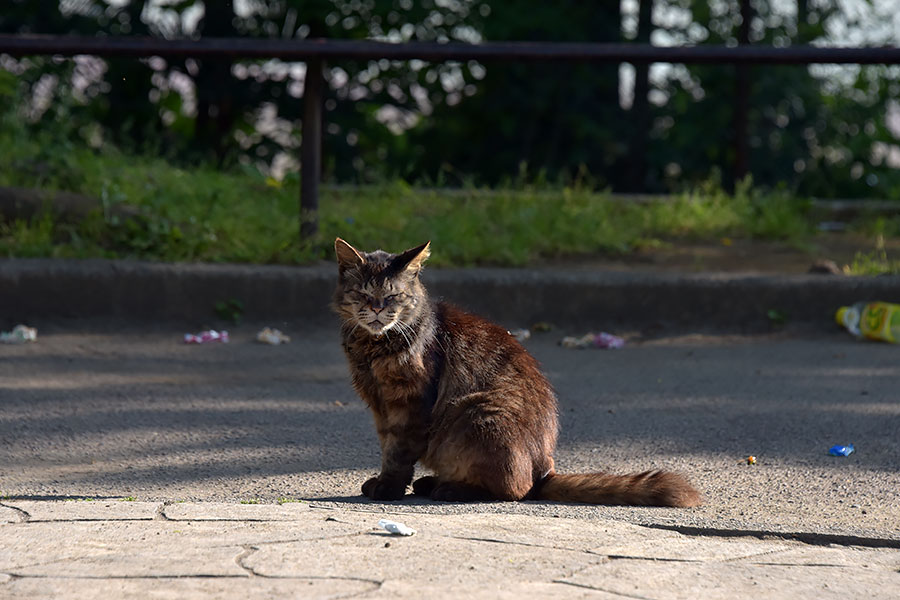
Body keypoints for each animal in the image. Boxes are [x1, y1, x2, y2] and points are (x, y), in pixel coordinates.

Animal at [334, 239, 700, 506]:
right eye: (363, 293)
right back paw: (433, 482)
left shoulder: (406, 404)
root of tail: (544, 474)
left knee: (514, 490)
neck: (372, 347)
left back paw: (449, 489)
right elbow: (387, 447)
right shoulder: (379, 406)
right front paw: (384, 482)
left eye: (393, 295)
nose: (376, 308)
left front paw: (389, 488)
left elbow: (398, 452)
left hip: (475, 411)